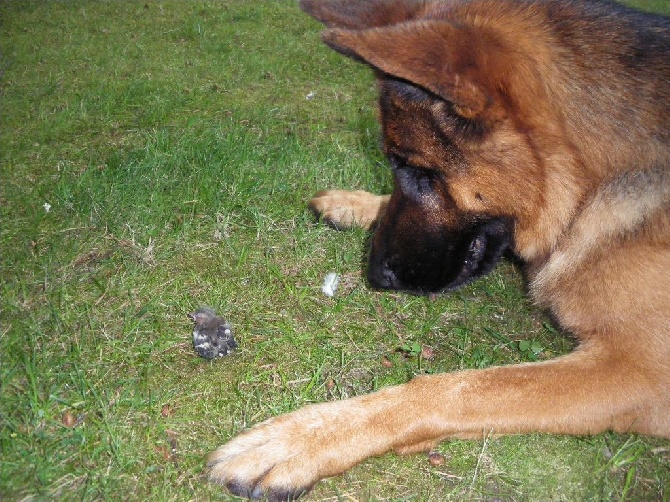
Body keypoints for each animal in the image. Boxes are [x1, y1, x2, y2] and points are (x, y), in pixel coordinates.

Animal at [207, 0, 668, 498]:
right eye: (395, 166)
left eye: (420, 172)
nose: (376, 276)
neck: (594, 180)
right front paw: (357, 203)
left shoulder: (641, 372)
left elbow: (459, 388)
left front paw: (300, 438)